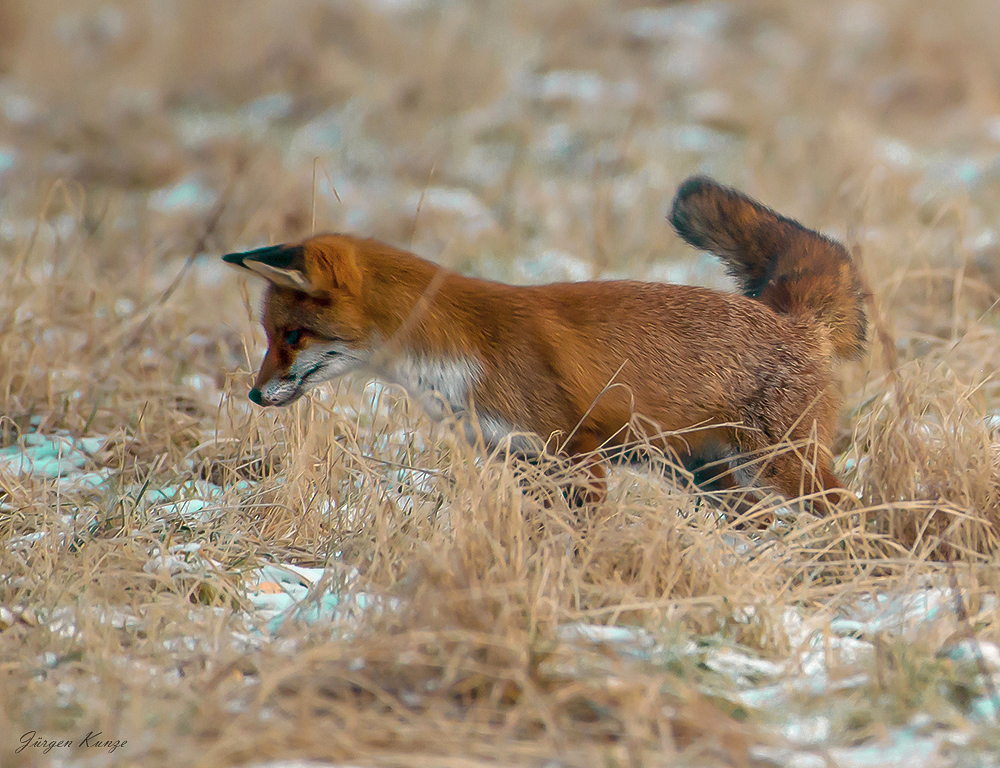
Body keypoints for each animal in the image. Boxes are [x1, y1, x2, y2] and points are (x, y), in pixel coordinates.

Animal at [223, 177, 864, 512]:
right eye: (269, 335)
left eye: (293, 335)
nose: (253, 396)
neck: (454, 354)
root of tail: (789, 319)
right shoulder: (518, 460)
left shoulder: (573, 452)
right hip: (711, 479)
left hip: (780, 469)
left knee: (852, 516)